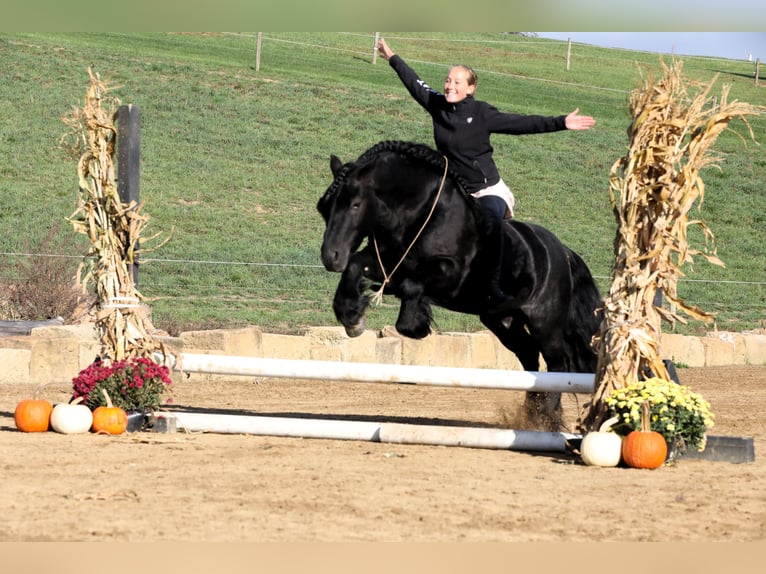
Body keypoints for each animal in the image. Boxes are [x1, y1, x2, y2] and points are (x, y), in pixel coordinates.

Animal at [316, 140, 604, 428]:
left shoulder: (450, 275)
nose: (331, 257)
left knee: (558, 365)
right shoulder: (386, 263)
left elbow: (410, 290)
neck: (423, 213)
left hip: (545, 323)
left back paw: (546, 418)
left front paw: (415, 324)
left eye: (355, 205)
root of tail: (562, 252)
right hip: (502, 321)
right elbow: (358, 266)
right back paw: (530, 415)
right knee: (530, 357)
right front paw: (352, 318)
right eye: (324, 207)